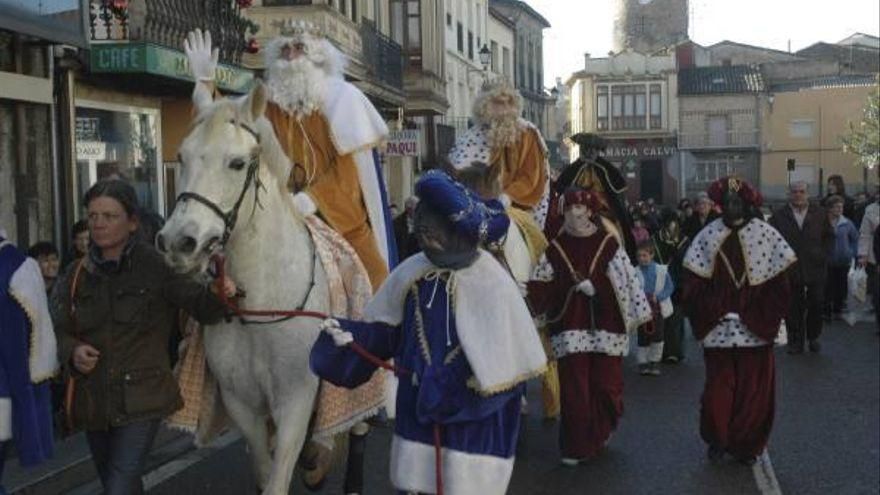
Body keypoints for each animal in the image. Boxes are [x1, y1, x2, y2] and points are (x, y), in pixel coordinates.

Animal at [156, 82, 328, 495]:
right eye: (181, 157)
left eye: (236, 163)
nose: (178, 242)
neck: (261, 308)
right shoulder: (242, 404)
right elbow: (264, 472)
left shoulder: (296, 400)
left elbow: (278, 479)